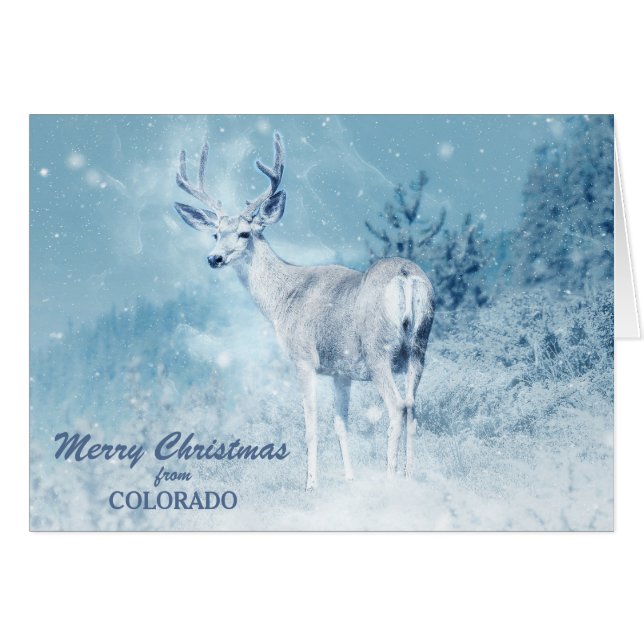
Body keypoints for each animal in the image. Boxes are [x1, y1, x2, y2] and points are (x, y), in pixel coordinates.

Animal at [174, 132, 435, 490]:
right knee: (414, 406)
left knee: (397, 406)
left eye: (244, 233)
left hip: (378, 349)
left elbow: (310, 425)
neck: (284, 298)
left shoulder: (303, 358)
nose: (214, 258)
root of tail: (406, 277)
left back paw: (389, 477)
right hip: (419, 347)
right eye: (216, 233)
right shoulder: (340, 371)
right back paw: (410, 477)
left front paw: (311, 484)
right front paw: (349, 478)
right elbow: (341, 424)